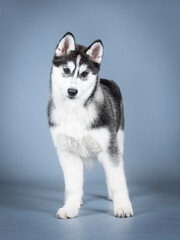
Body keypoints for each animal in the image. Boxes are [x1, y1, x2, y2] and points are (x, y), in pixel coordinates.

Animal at [47, 31, 134, 218]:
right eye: (66, 70)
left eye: (84, 73)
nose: (72, 91)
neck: (74, 110)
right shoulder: (67, 153)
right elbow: (73, 184)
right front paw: (70, 206)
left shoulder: (110, 149)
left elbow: (117, 180)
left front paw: (122, 206)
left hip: (118, 140)